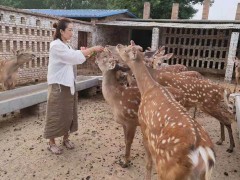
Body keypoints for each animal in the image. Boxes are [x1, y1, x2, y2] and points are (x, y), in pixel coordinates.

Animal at [116, 44, 216, 180]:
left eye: (127, 49)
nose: (118, 45)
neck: (147, 89)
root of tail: (203, 155)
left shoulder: (144, 126)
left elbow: (148, 163)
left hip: (167, 167)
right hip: (202, 176)